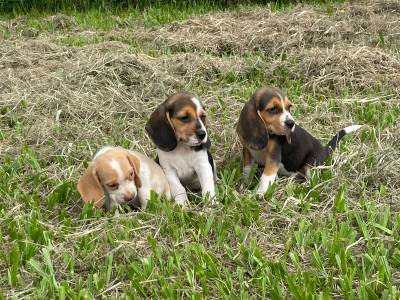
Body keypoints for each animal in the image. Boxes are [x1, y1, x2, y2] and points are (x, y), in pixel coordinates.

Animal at [236, 86, 364, 195]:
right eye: (272, 109)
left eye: (289, 107)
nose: (291, 123)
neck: (269, 134)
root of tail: (324, 150)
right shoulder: (247, 151)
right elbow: (247, 169)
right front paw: (245, 184)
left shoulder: (273, 157)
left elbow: (266, 176)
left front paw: (259, 194)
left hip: (311, 165)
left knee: (311, 180)